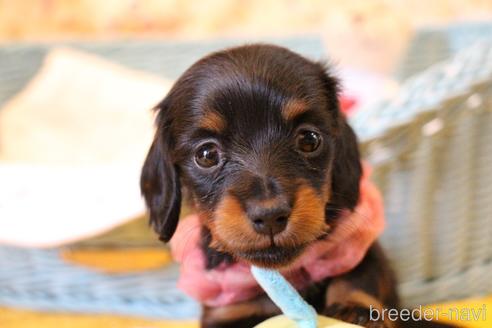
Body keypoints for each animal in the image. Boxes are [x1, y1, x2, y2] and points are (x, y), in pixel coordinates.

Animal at [141, 44, 396, 328]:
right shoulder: (227, 312)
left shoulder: (360, 253)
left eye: (309, 139)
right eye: (206, 155)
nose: (270, 216)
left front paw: (355, 308)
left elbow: (358, 276)